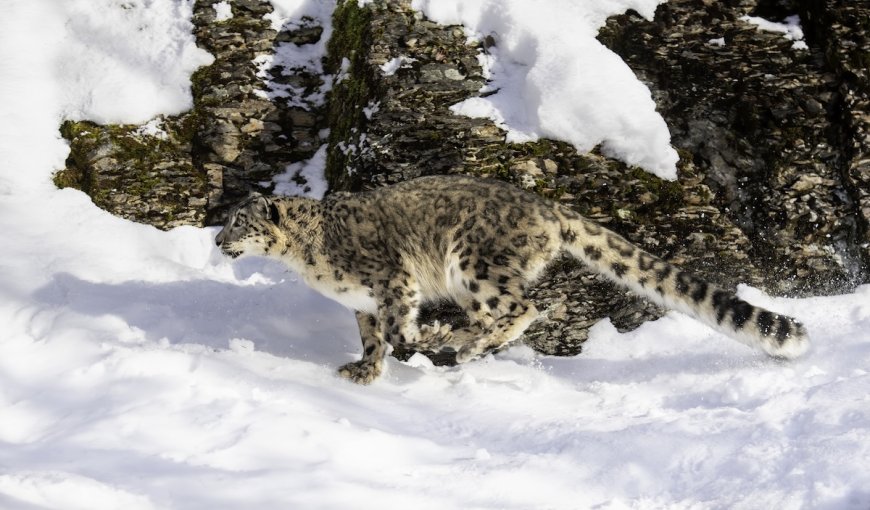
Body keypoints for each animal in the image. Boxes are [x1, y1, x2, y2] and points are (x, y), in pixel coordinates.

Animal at [215, 174, 809, 384]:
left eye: (239, 221)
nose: (218, 241)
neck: (306, 259)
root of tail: (546, 206)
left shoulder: (391, 281)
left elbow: (400, 328)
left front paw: (421, 338)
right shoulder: (360, 302)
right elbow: (372, 338)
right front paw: (364, 370)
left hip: (473, 263)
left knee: (524, 308)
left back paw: (460, 342)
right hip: (472, 281)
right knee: (499, 315)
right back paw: (467, 344)